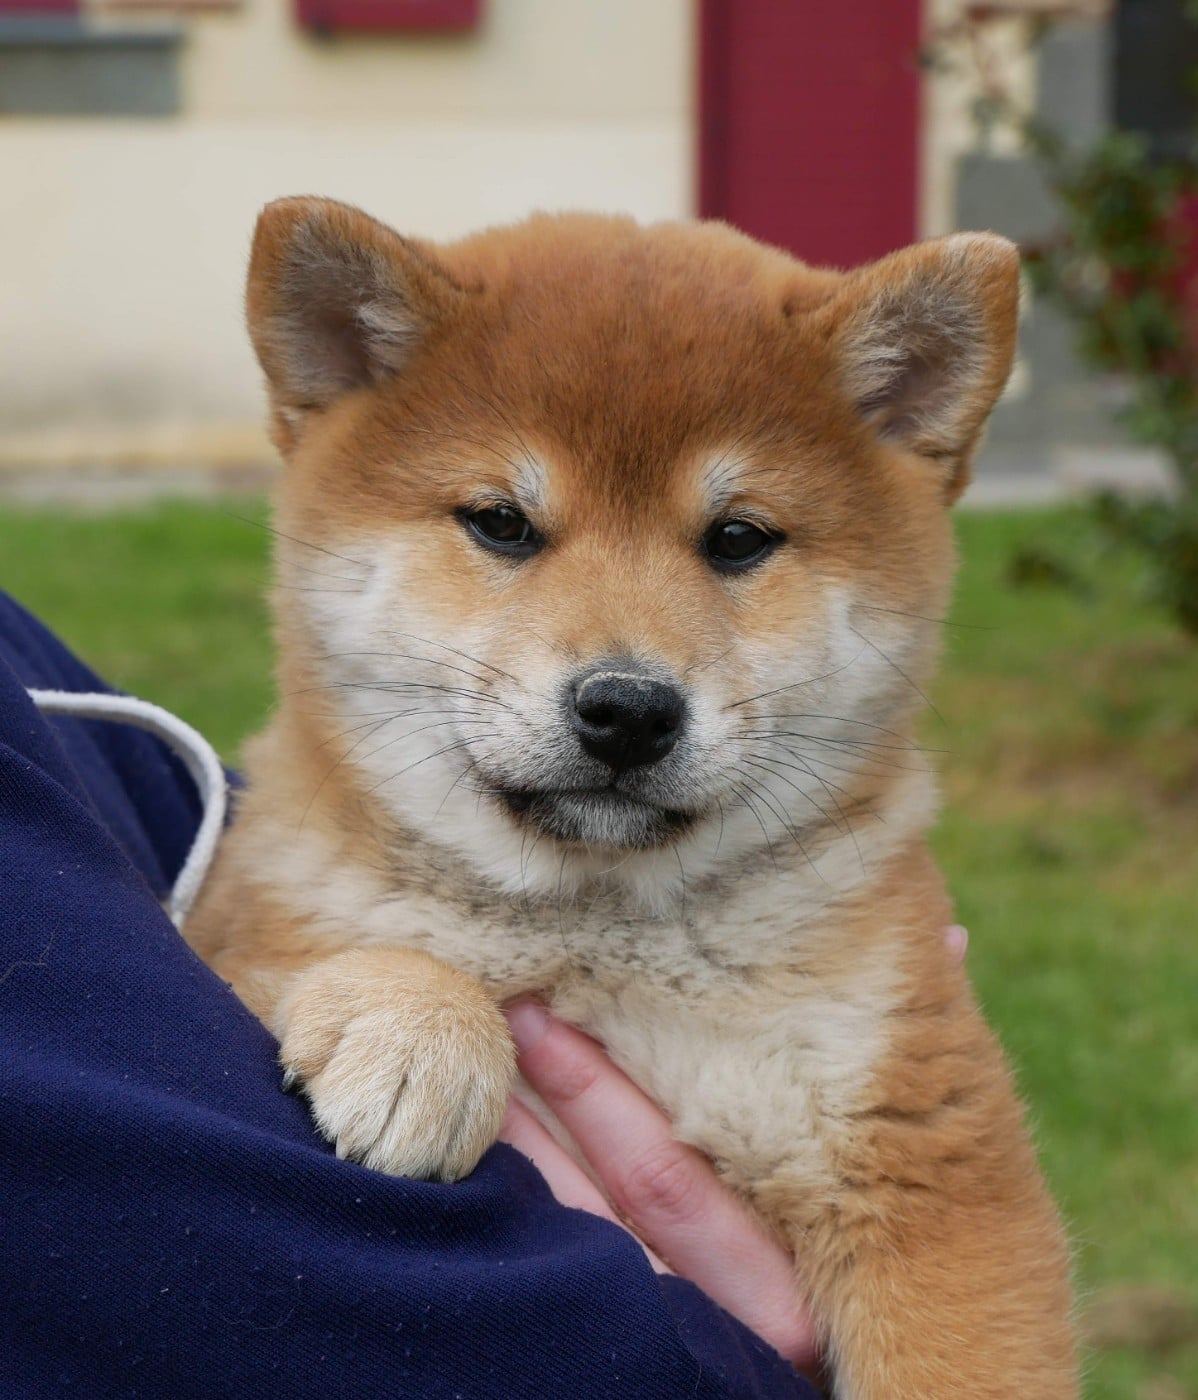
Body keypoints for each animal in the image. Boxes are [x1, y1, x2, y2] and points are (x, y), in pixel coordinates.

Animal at [187, 198, 1077, 1398]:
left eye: (738, 537)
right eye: (501, 522)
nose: (627, 707)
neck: (600, 937)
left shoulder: (924, 1155)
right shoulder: (244, 917)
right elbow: (330, 949)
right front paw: (415, 1031)